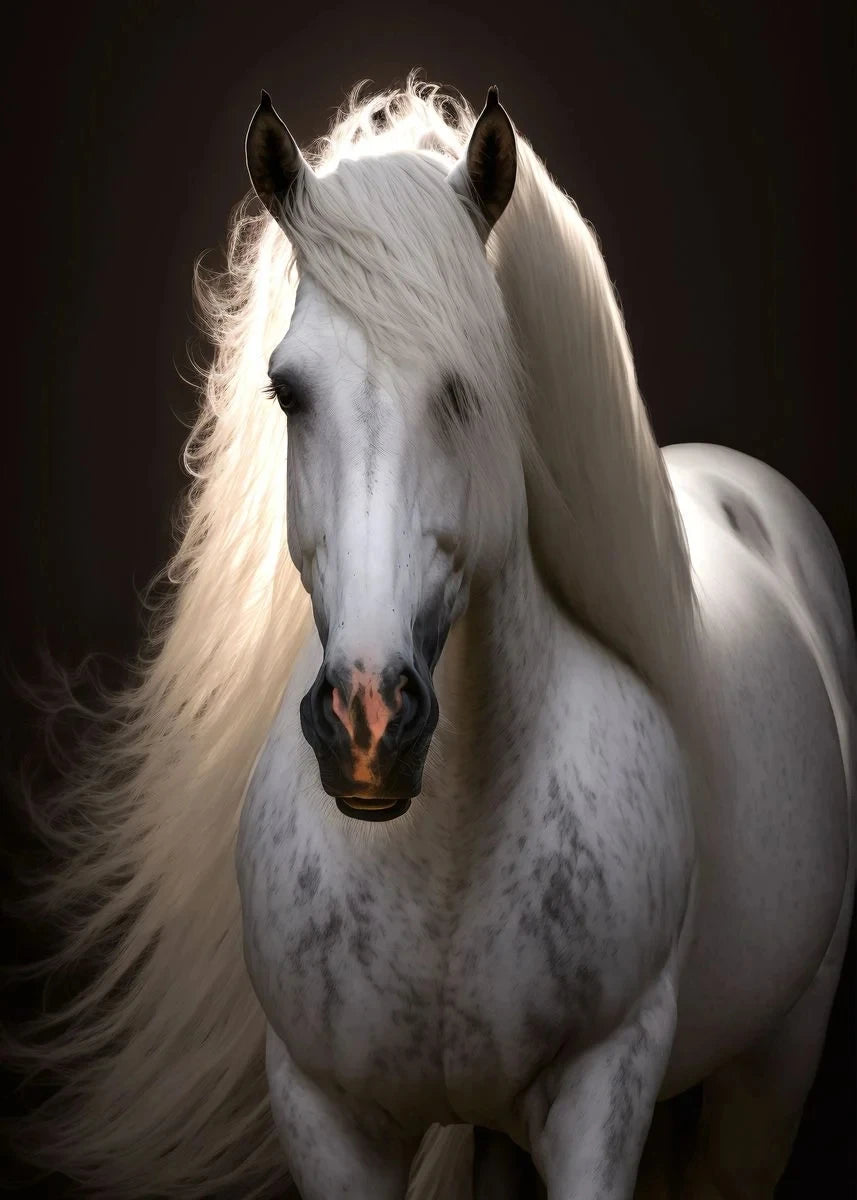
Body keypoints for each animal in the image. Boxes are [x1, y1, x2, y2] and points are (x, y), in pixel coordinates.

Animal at [9, 79, 854, 1200]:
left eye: (468, 389)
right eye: (287, 390)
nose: (368, 724)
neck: (441, 853)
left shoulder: (602, 1089)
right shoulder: (323, 1113)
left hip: (772, 1071)